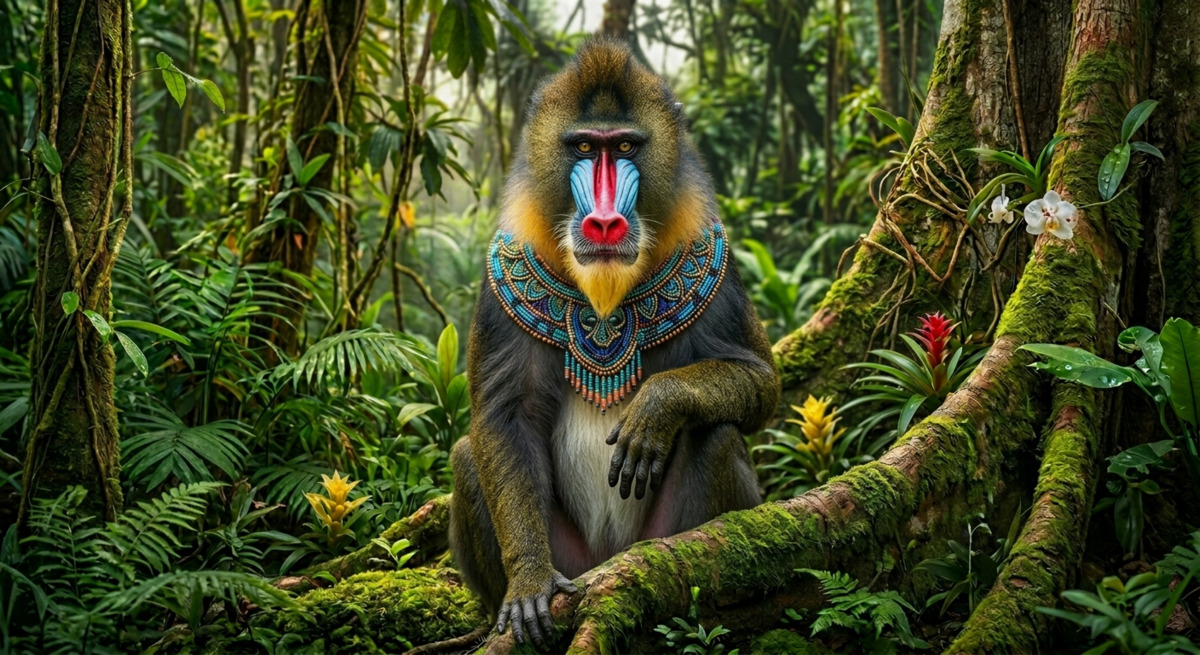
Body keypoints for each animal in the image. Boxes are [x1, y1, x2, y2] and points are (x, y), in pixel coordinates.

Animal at [448, 37, 780, 649]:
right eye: (584, 147)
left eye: (624, 146)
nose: (604, 223)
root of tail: (607, 562)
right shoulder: (501, 282)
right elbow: (505, 416)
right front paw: (528, 582)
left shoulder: (712, 258)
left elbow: (760, 384)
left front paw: (657, 406)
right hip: (573, 563)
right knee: (464, 456)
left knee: (719, 433)